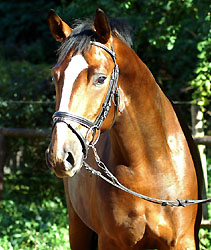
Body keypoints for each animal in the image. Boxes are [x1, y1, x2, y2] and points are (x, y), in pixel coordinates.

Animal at [45, 8, 201, 250]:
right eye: (55, 75)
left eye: (100, 78)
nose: (60, 155)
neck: (150, 167)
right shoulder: (110, 242)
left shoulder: (183, 241)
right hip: (77, 228)